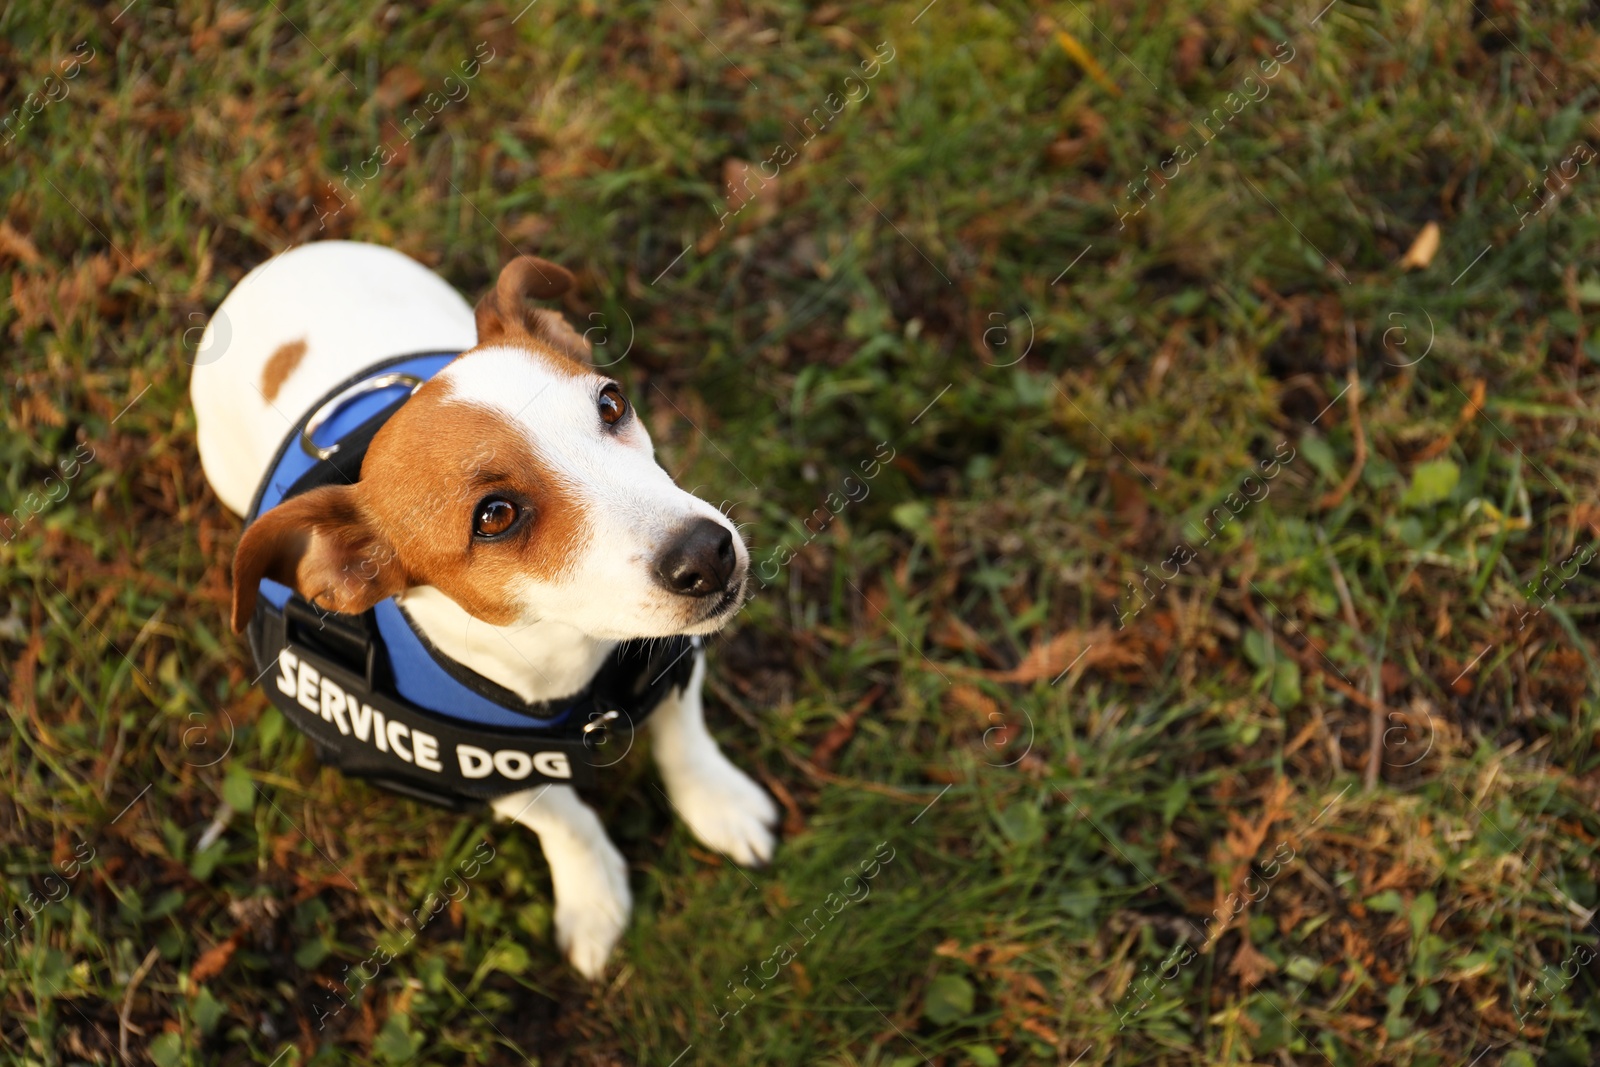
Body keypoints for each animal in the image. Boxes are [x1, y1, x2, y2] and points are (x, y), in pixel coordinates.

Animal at [190, 241, 777, 979]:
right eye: (494, 516)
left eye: (611, 403)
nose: (709, 553)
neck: (572, 659)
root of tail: (283, 263)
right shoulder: (489, 769)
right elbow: (565, 817)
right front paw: (593, 898)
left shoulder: (669, 664)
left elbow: (684, 734)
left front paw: (718, 802)